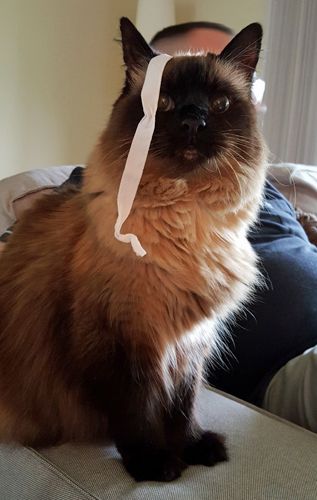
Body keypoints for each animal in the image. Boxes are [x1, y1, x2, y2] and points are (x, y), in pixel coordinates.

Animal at [0, 18, 266, 480]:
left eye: (218, 104)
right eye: (163, 102)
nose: (192, 121)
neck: (186, 224)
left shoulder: (190, 344)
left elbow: (181, 409)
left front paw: (193, 448)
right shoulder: (118, 342)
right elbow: (136, 412)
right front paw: (155, 465)